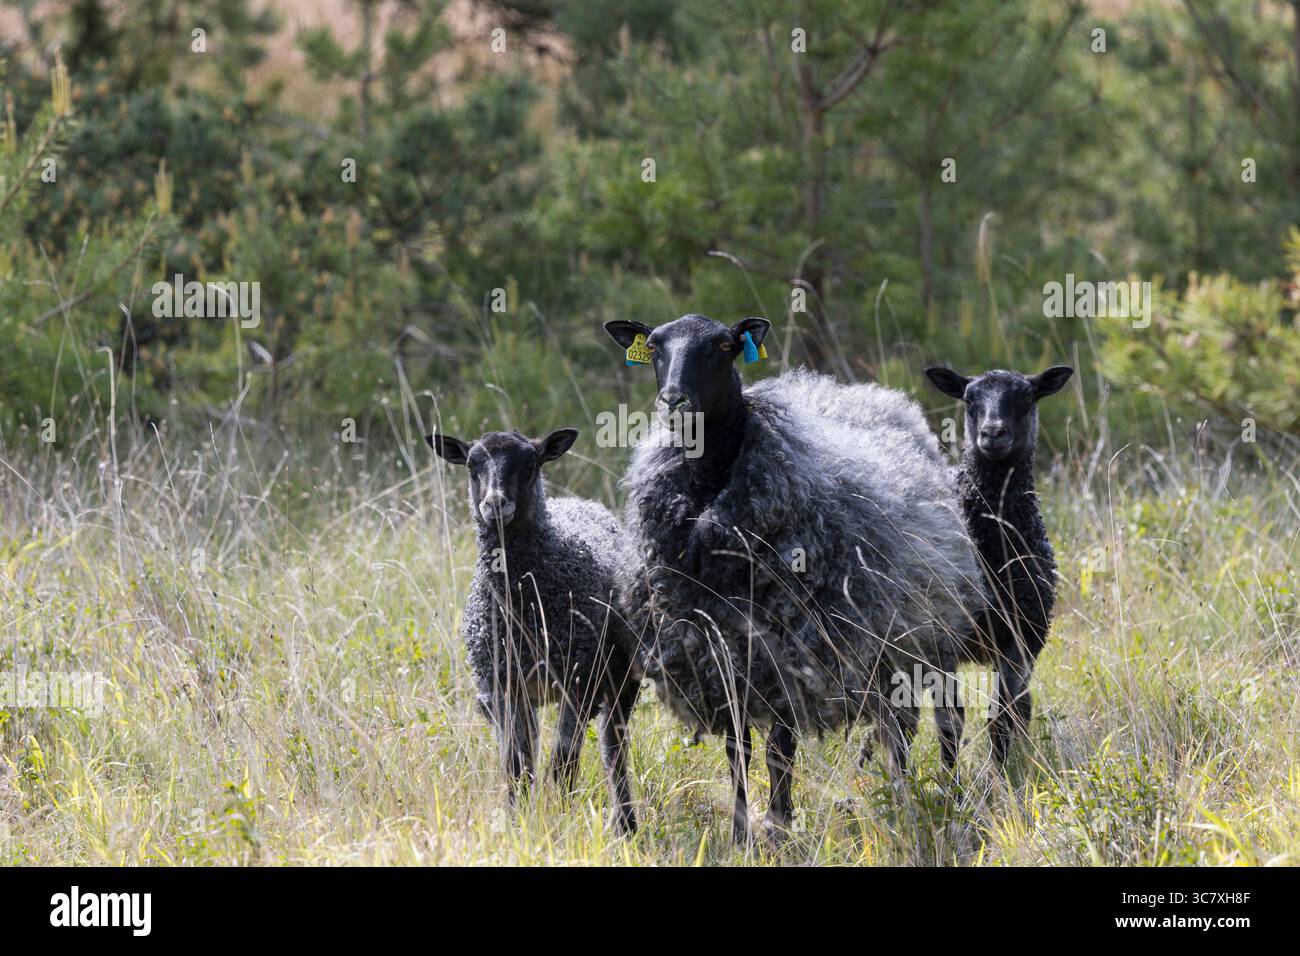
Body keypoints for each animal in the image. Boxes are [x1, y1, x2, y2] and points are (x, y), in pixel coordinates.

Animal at [428, 427, 639, 833]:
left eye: (531, 464)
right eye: (472, 465)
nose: (495, 504)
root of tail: (581, 503)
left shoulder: (578, 681)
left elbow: (563, 763)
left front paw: (562, 818)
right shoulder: (503, 687)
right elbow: (517, 766)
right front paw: (515, 824)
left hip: (619, 677)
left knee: (613, 748)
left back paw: (626, 824)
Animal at [603, 314, 982, 843]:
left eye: (725, 346)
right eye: (655, 346)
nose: (673, 400)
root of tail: (871, 395)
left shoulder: (787, 648)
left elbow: (779, 749)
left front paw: (779, 825)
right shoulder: (721, 654)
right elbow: (738, 751)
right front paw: (741, 831)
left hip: (934, 626)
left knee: (948, 718)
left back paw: (947, 794)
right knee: (900, 723)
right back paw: (901, 788)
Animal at [921, 364, 1074, 764]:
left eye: (1026, 398)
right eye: (969, 399)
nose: (992, 433)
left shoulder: (1023, 637)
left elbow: (1001, 717)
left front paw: (1004, 774)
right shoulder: (943, 641)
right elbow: (950, 720)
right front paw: (950, 781)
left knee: (1022, 706)